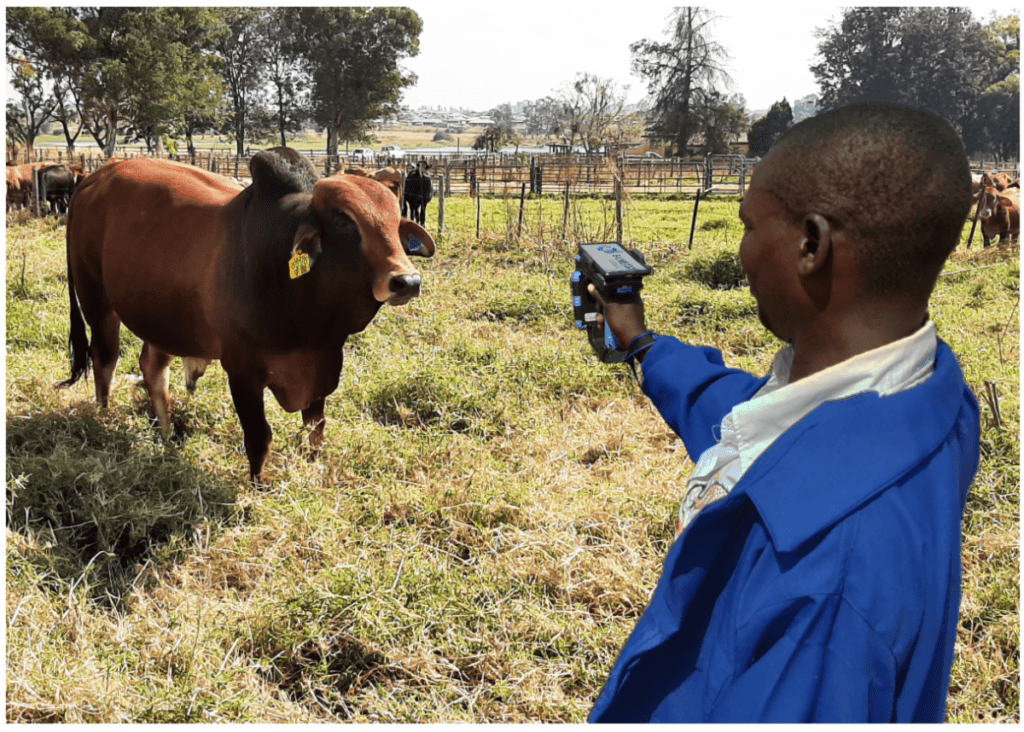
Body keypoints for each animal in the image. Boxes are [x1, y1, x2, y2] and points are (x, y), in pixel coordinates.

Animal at [59, 146, 436, 483]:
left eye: (394, 222)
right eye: (344, 220)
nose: (406, 281)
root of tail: (96, 176)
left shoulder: (324, 364)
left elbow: (315, 429)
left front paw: (313, 471)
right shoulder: (242, 371)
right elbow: (259, 437)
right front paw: (257, 491)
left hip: (163, 316)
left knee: (152, 368)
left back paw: (165, 437)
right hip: (97, 300)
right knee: (104, 359)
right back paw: (105, 420)